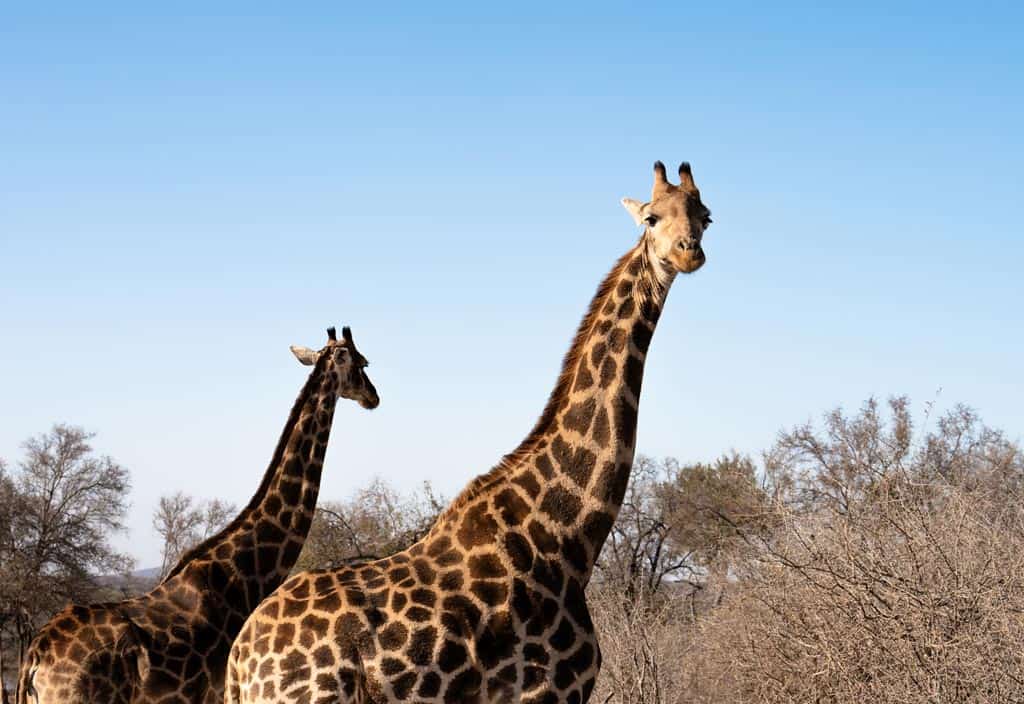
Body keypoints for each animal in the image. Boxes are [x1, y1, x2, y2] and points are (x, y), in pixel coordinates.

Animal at [224, 160, 712, 704]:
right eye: (651, 218)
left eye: (705, 217)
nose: (688, 252)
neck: (571, 536)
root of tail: (239, 661)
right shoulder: (549, 691)